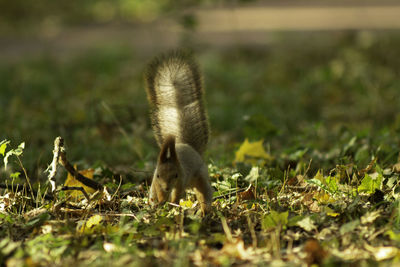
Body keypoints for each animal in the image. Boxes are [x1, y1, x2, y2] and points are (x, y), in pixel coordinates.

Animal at [144, 51, 212, 215]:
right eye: (158, 174)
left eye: (175, 175)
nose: (167, 187)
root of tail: (189, 147)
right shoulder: (156, 181)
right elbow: (159, 191)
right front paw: (162, 201)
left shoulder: (181, 178)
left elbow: (177, 194)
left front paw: (171, 204)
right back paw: (153, 205)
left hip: (200, 176)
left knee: (204, 193)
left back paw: (205, 210)